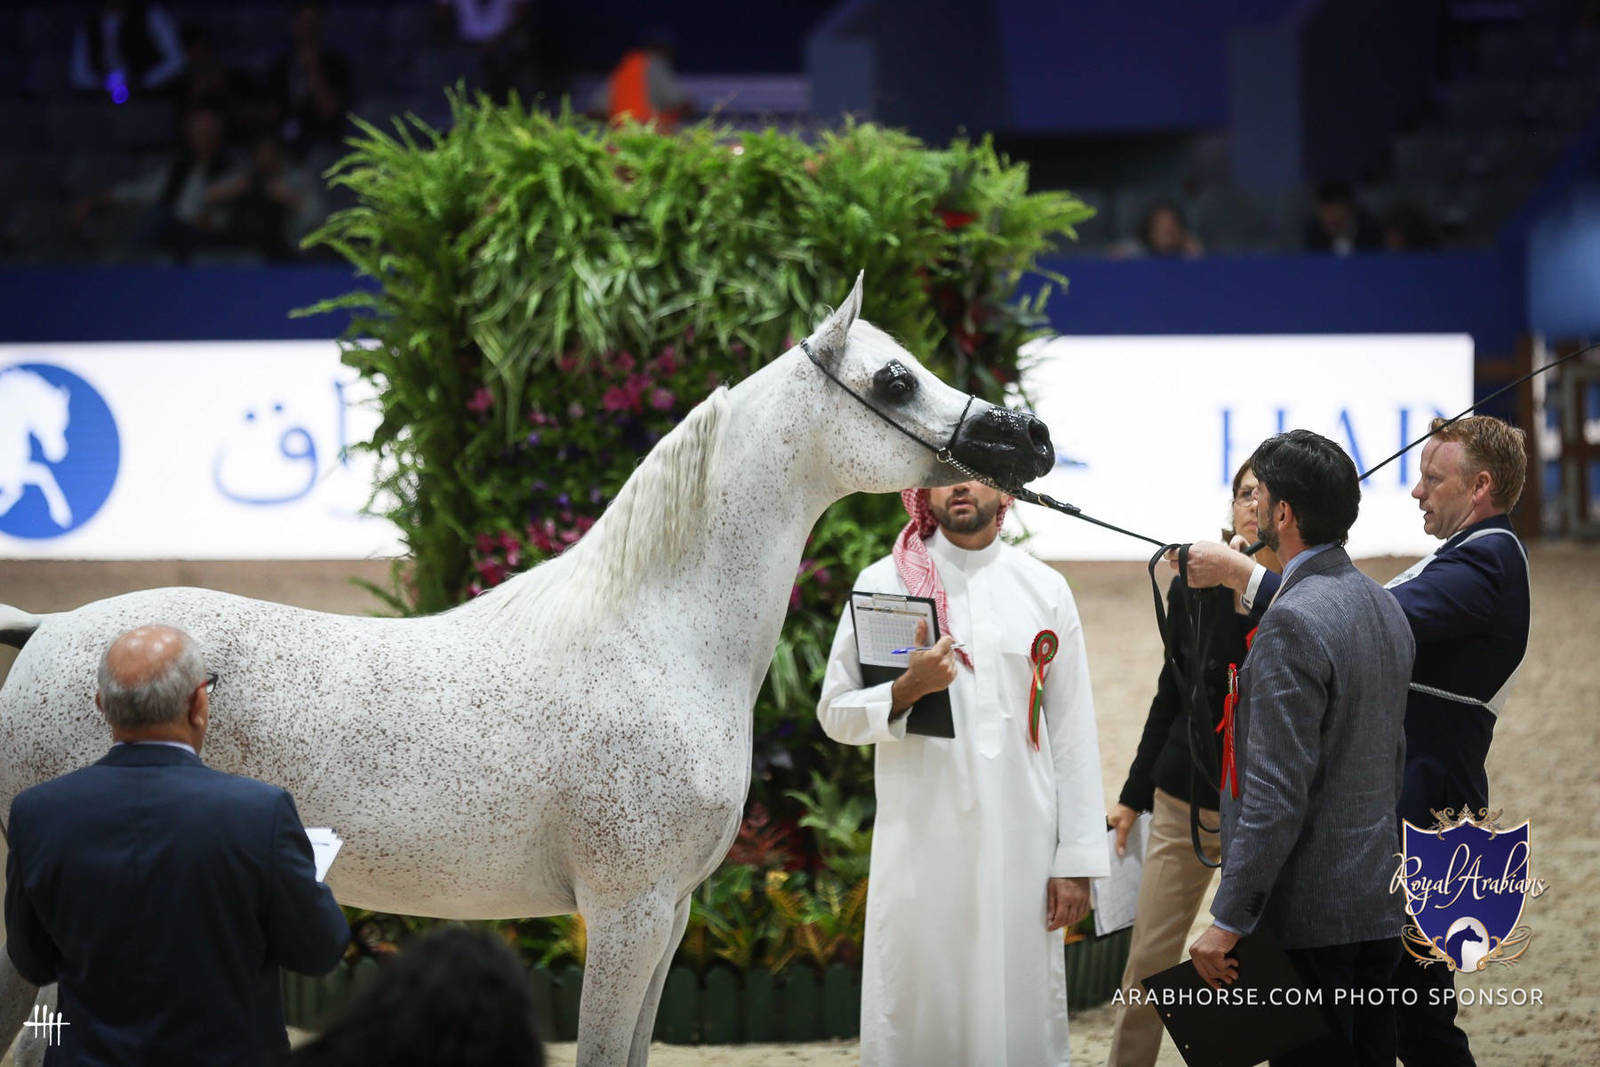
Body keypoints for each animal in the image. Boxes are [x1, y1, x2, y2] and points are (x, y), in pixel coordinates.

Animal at [0, 368, 75, 528]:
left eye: (64, 424)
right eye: (49, 420)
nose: (59, 453)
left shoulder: (14, 470)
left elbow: (43, 474)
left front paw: (61, 514)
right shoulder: (10, 471)